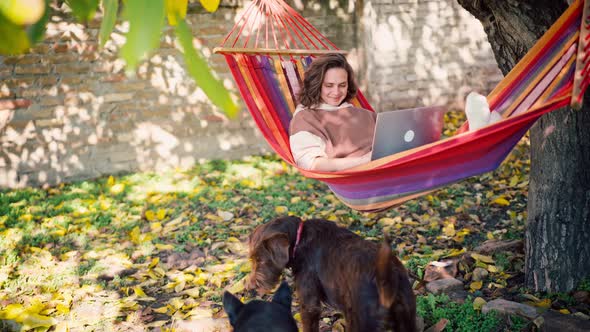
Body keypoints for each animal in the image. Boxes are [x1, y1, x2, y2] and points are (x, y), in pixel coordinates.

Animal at [245, 217, 416, 332]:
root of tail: (388, 278)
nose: (250, 286)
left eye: (260, 260)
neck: (299, 238)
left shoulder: (309, 305)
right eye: (252, 259)